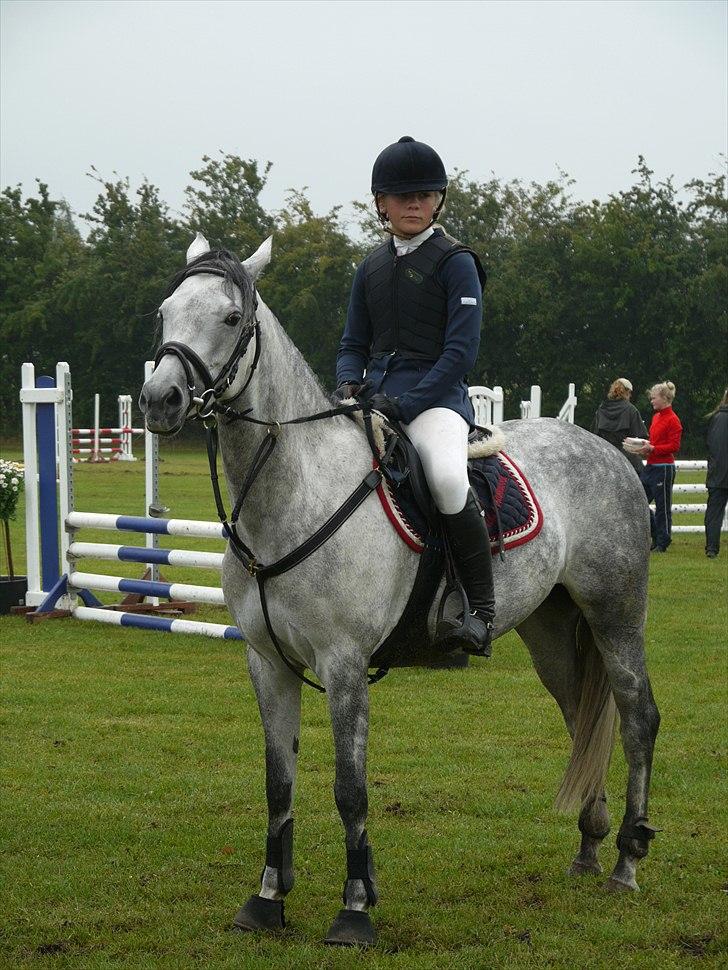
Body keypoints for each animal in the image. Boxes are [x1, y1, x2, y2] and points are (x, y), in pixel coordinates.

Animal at [141, 233, 660, 944]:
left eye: (229, 318)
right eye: (165, 314)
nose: (159, 400)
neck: (293, 494)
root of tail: (610, 450)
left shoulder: (344, 664)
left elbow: (349, 789)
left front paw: (355, 908)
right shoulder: (267, 662)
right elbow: (279, 784)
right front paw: (268, 899)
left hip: (615, 613)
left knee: (637, 717)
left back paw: (628, 862)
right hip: (553, 631)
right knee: (581, 715)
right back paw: (588, 848)